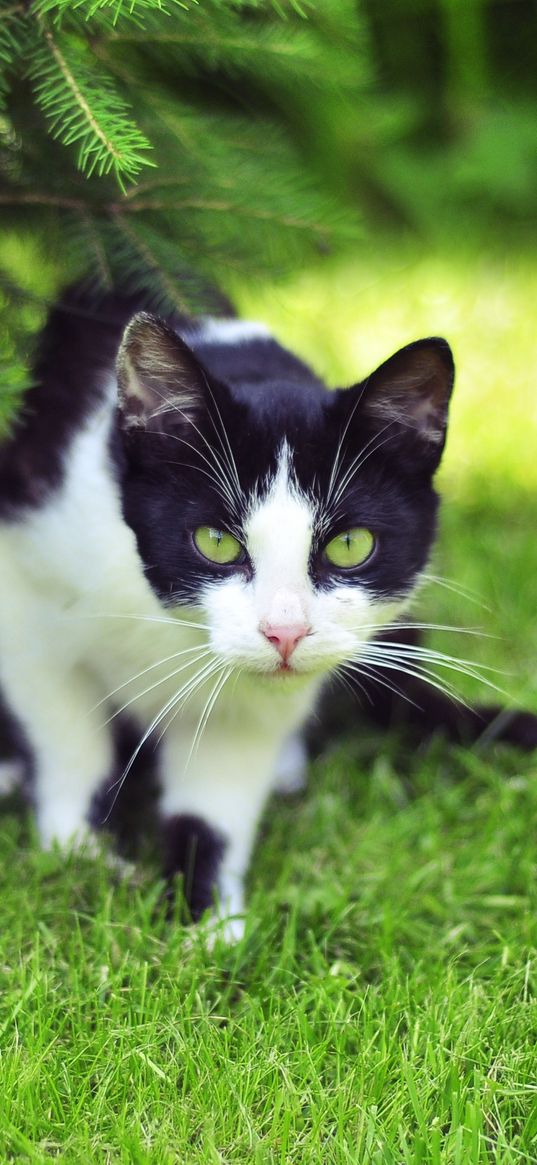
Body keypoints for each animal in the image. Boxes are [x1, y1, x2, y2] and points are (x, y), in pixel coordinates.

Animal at [1, 286, 535, 941]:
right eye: (215, 541)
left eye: (351, 545)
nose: (285, 632)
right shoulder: (25, 582)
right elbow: (70, 737)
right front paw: (82, 854)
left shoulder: (249, 709)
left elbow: (216, 790)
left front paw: (205, 920)